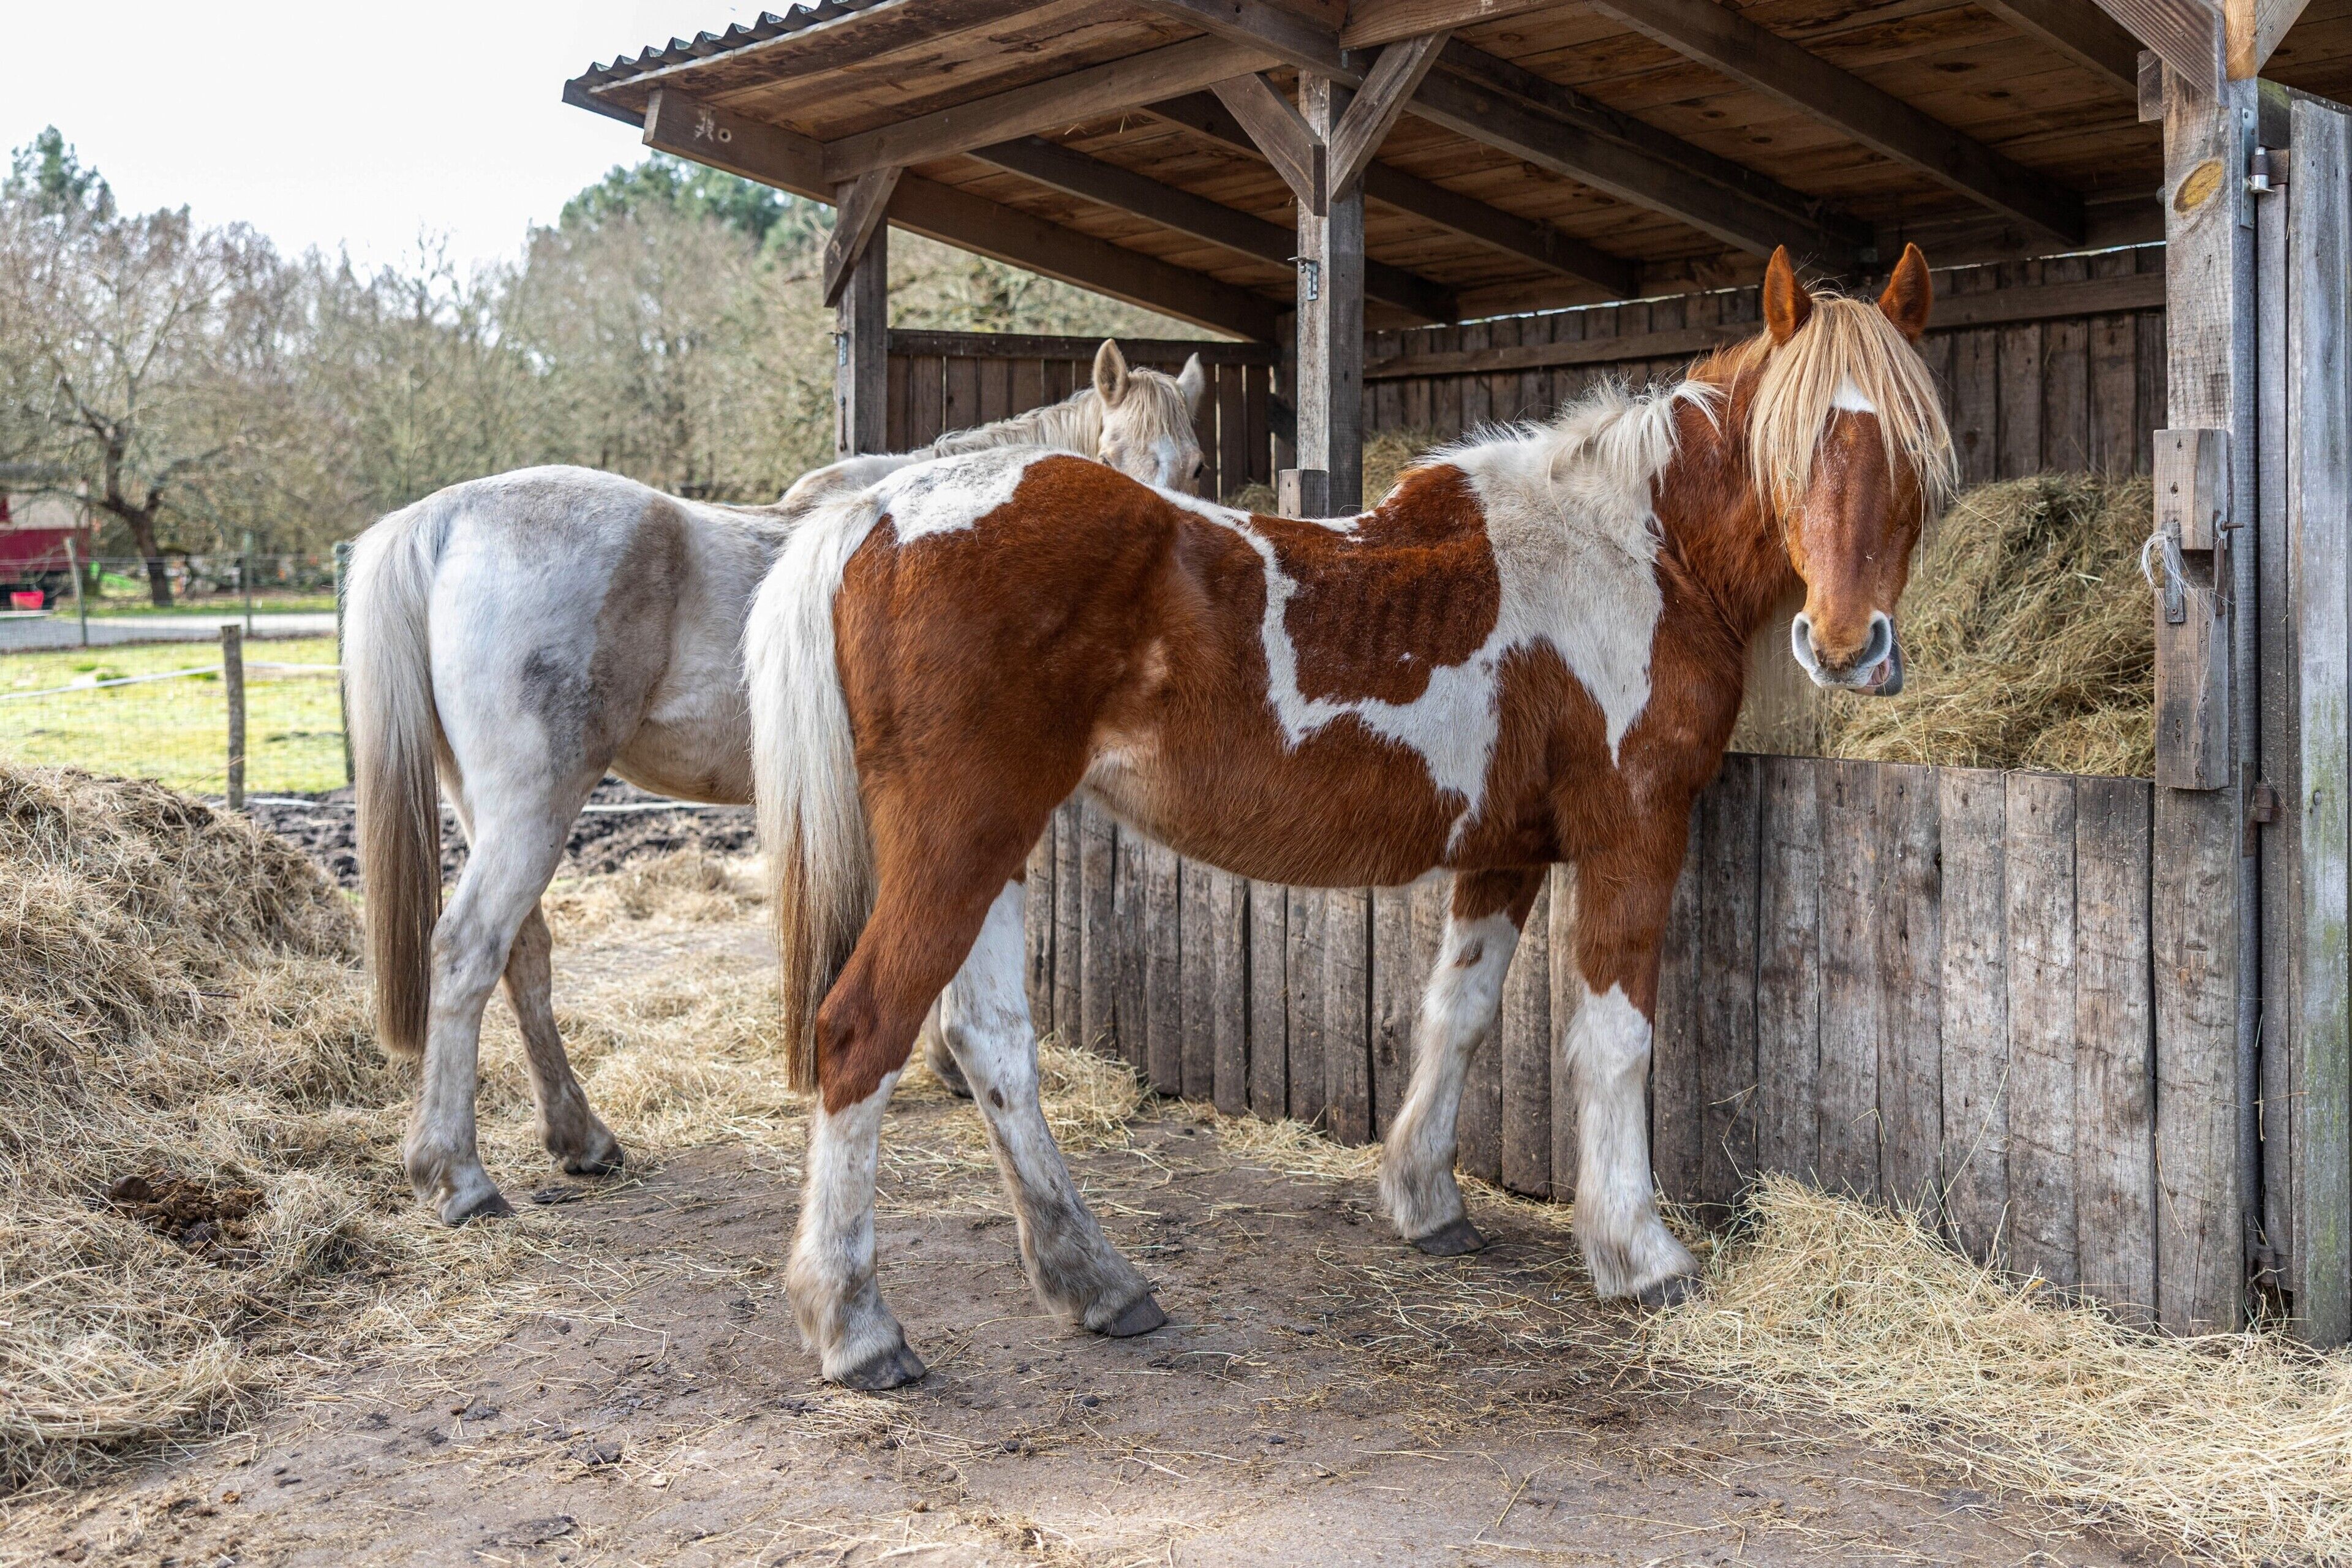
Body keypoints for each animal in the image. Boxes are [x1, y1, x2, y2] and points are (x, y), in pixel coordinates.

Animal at [346, 339, 1207, 1226]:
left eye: (1196, 467)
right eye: (1111, 457)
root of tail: (443, 518)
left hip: (492, 808)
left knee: (523, 954)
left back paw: (580, 1137)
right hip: (533, 804)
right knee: (467, 950)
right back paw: (459, 1177)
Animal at [743, 245, 1956, 1388]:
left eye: (1913, 456)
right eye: (1795, 447)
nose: (1848, 646)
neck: (1636, 547)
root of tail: (878, 512)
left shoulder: (1504, 852)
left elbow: (1457, 1013)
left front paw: (1426, 1201)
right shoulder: (1634, 832)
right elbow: (1614, 1041)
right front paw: (1639, 1254)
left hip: (996, 840)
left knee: (990, 1042)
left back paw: (1095, 1281)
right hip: (959, 838)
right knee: (861, 1033)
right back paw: (856, 1327)